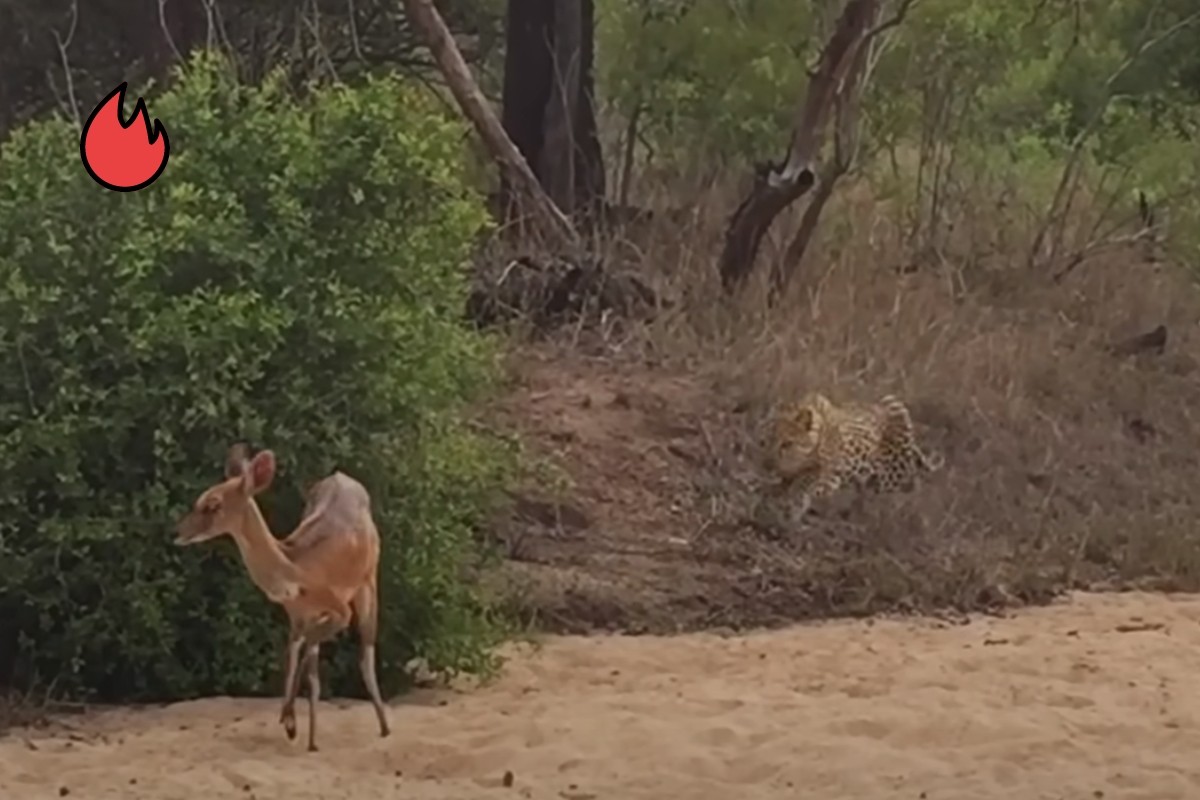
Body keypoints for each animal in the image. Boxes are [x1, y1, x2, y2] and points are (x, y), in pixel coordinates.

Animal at [175, 443, 388, 753]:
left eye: (213, 504)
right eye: (198, 499)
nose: (177, 532)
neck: (296, 572)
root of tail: (343, 476)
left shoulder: (338, 609)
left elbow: (311, 661)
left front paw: (300, 731)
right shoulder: (297, 615)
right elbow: (294, 656)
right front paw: (292, 726)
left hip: (368, 583)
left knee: (366, 650)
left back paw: (384, 727)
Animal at [763, 388, 940, 525]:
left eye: (787, 444)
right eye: (765, 441)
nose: (767, 465)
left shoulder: (829, 477)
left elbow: (805, 482)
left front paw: (792, 504)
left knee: (896, 491)